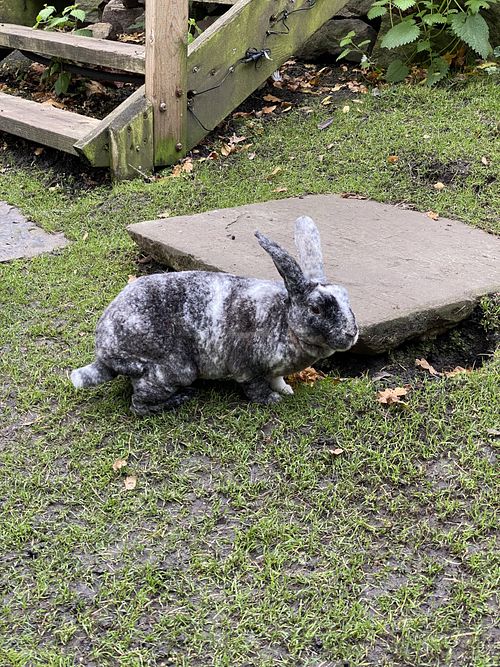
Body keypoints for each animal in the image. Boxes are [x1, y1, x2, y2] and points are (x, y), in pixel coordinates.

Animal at [71, 216, 358, 415]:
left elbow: (276, 379)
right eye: (316, 309)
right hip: (171, 371)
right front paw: (273, 400)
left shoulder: (273, 369)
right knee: (138, 404)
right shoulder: (247, 368)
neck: (284, 320)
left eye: (347, 297)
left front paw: (285, 390)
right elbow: (255, 387)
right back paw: (180, 398)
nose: (351, 334)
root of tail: (104, 353)